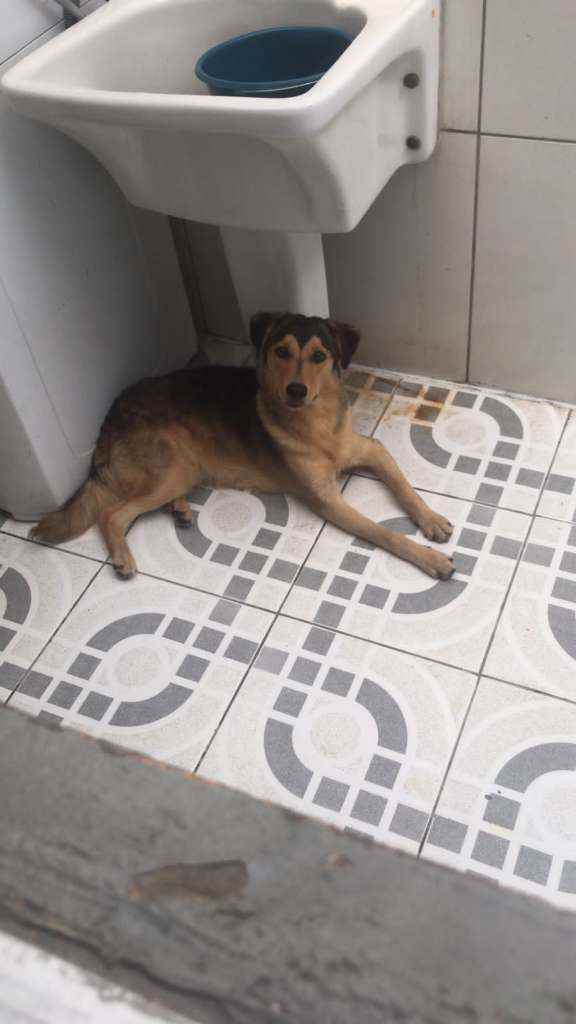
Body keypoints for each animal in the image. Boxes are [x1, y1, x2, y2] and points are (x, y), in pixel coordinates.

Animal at [31, 312, 455, 581]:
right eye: (281, 351)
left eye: (319, 356)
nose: (296, 390)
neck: (315, 423)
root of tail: (110, 416)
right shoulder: (327, 499)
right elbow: (384, 533)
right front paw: (430, 558)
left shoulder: (371, 450)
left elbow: (404, 487)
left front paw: (432, 519)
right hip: (175, 465)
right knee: (112, 514)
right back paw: (123, 558)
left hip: (181, 471)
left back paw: (180, 510)